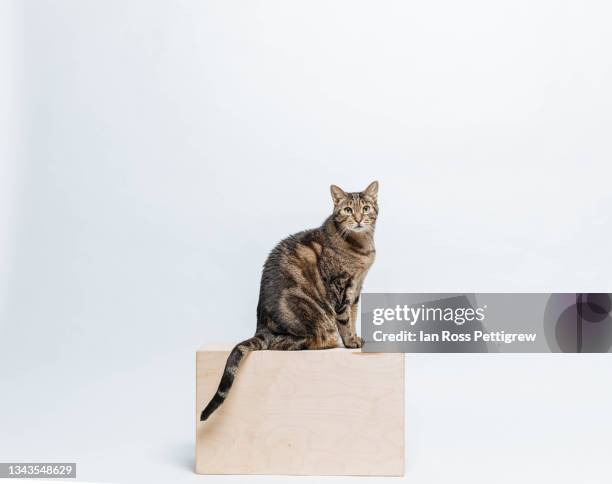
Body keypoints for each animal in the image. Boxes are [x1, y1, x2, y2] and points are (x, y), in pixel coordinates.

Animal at [201, 181, 378, 420]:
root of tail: (261, 328)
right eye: (348, 210)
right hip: (308, 315)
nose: (358, 219)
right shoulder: (340, 287)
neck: (360, 247)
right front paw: (350, 341)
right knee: (291, 343)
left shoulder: (357, 288)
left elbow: (354, 314)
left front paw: (356, 337)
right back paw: (327, 341)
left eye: (366, 208)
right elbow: (344, 319)